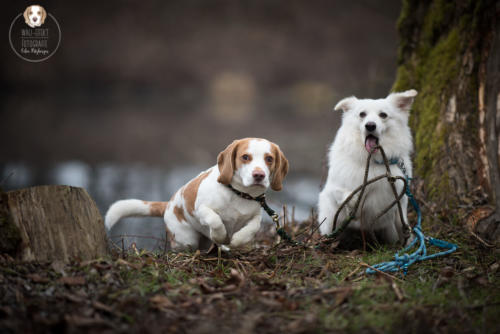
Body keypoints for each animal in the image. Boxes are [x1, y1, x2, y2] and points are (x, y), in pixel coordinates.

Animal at [104, 138, 290, 250]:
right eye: (245, 157)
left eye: (269, 159)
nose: (259, 175)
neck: (239, 194)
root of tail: (168, 204)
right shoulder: (201, 209)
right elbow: (215, 220)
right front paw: (221, 236)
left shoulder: (255, 217)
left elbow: (251, 229)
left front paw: (236, 240)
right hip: (186, 239)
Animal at [316, 90, 418, 244]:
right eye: (362, 114)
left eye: (383, 115)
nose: (370, 125)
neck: (373, 161)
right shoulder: (333, 190)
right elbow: (347, 195)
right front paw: (354, 203)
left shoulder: (400, 198)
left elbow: (402, 224)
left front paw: (407, 242)